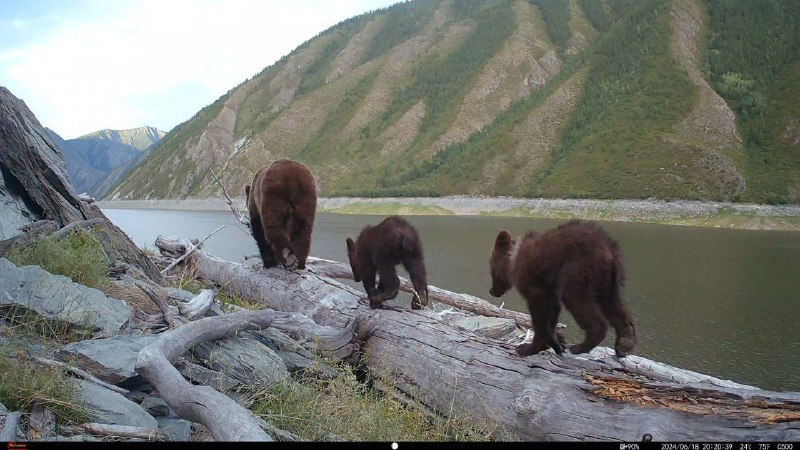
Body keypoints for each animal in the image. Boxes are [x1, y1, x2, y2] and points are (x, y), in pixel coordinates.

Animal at [490, 220, 636, 356]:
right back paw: (625, 342)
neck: (513, 261)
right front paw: (557, 344)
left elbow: (541, 316)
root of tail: (610, 249)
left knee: (579, 302)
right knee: (614, 307)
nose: (491, 291)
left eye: (491, 268)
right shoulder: (549, 289)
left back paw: (581, 346)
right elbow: (552, 312)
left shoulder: (534, 285)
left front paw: (528, 348)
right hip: (607, 284)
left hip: (579, 271)